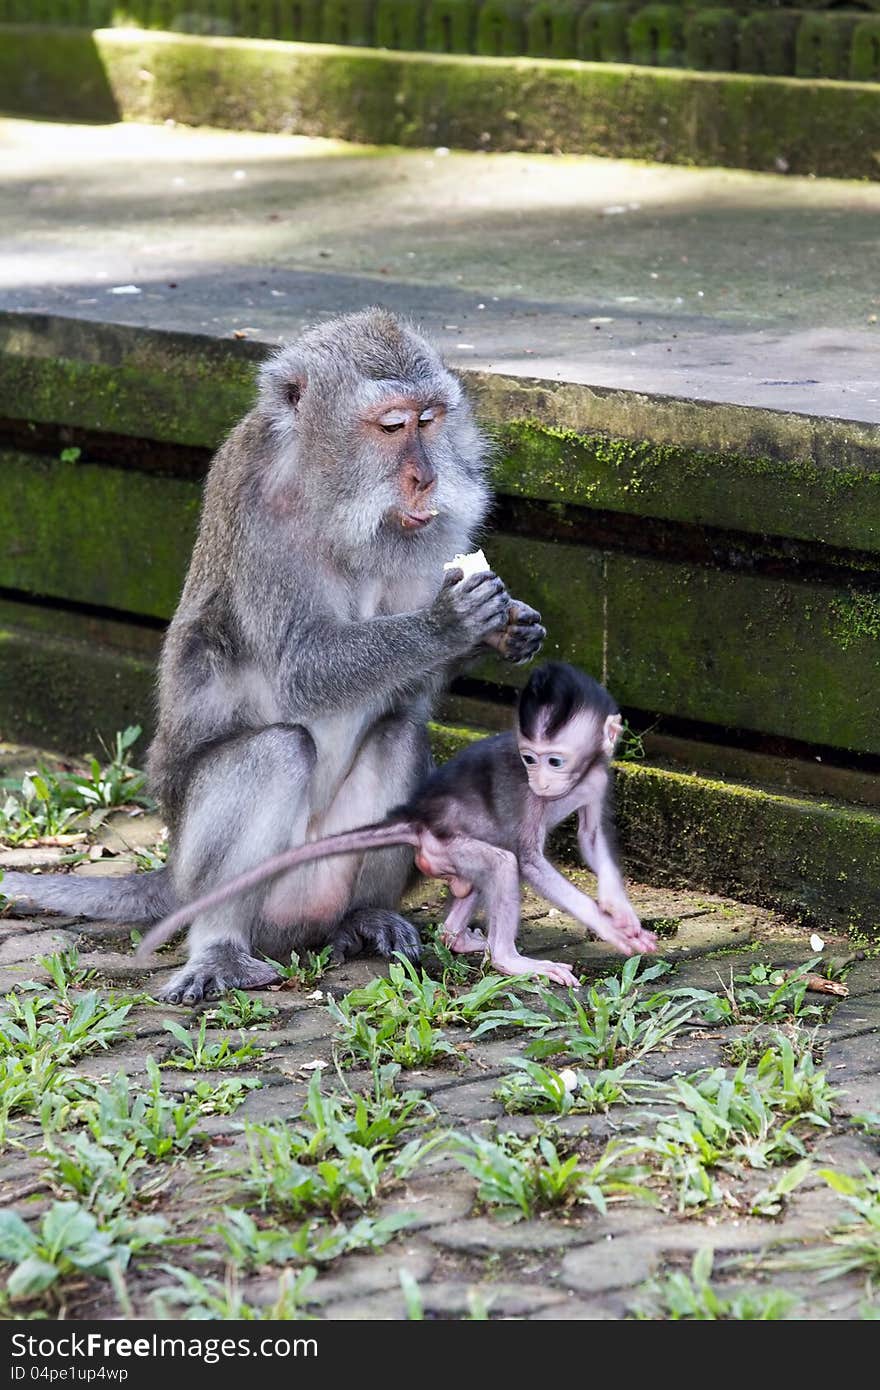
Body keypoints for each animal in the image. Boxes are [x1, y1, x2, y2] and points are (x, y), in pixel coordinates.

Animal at [5, 308, 542, 1000]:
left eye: (430, 419)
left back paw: (364, 916)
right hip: (212, 878)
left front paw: (510, 630)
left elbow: (406, 697)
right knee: (275, 753)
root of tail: (169, 876)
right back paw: (219, 950)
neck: (328, 500)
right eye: (392, 425)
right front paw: (450, 622)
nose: (426, 478)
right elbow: (299, 674)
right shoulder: (259, 514)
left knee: (398, 735)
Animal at [139, 664, 658, 984]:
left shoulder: (595, 778)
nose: (541, 779)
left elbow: (591, 840)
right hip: (446, 847)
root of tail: (418, 821)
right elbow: (528, 862)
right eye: (529, 758)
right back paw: (507, 959)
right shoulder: (528, 798)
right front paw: (615, 931)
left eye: (555, 760)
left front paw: (620, 909)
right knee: (500, 862)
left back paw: (456, 937)